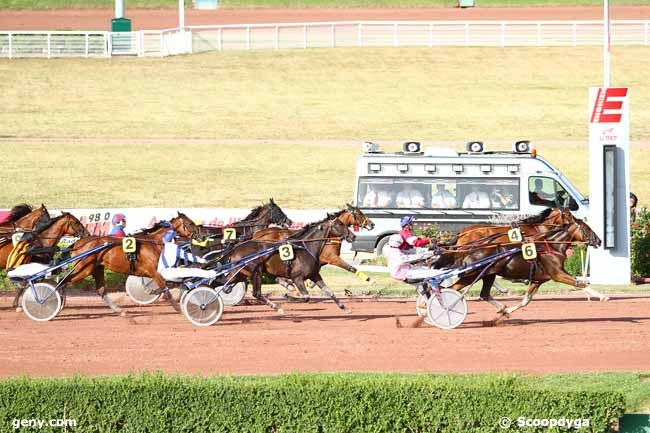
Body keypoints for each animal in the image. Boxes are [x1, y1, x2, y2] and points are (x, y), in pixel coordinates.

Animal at [66, 213, 199, 314]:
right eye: (190, 223)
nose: (199, 235)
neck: (154, 243)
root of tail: (77, 243)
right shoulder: (155, 272)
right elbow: (166, 289)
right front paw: (179, 309)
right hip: (84, 268)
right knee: (65, 282)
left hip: (97, 268)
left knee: (101, 290)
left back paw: (119, 310)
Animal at [221, 218, 354, 312]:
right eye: (340, 224)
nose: (353, 236)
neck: (306, 248)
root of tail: (235, 249)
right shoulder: (297, 278)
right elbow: (306, 297)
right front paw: (288, 296)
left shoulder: (314, 275)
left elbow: (329, 291)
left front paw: (344, 307)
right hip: (253, 272)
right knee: (252, 292)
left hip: (242, 273)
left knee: (231, 286)